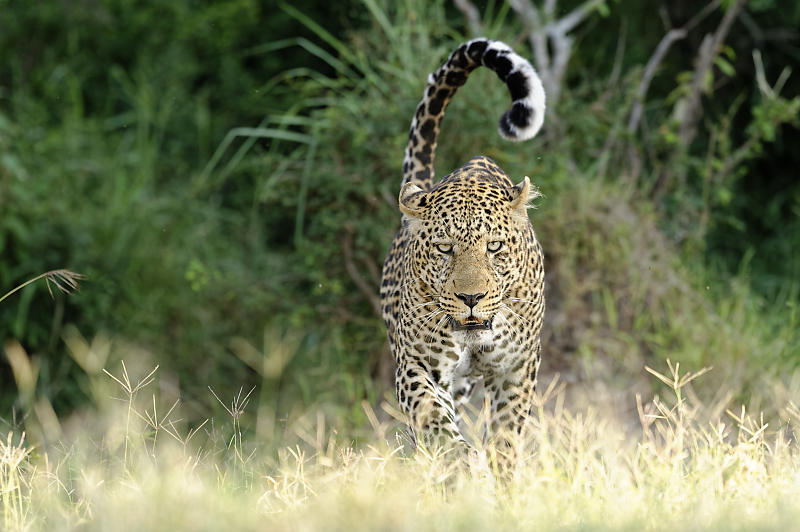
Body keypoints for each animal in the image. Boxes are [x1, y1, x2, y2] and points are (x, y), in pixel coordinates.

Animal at [378, 38, 548, 474]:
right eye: (444, 248)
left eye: (494, 247)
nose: (471, 298)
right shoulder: (417, 365)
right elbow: (432, 418)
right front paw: (459, 462)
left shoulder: (516, 370)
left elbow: (506, 434)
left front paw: (502, 474)